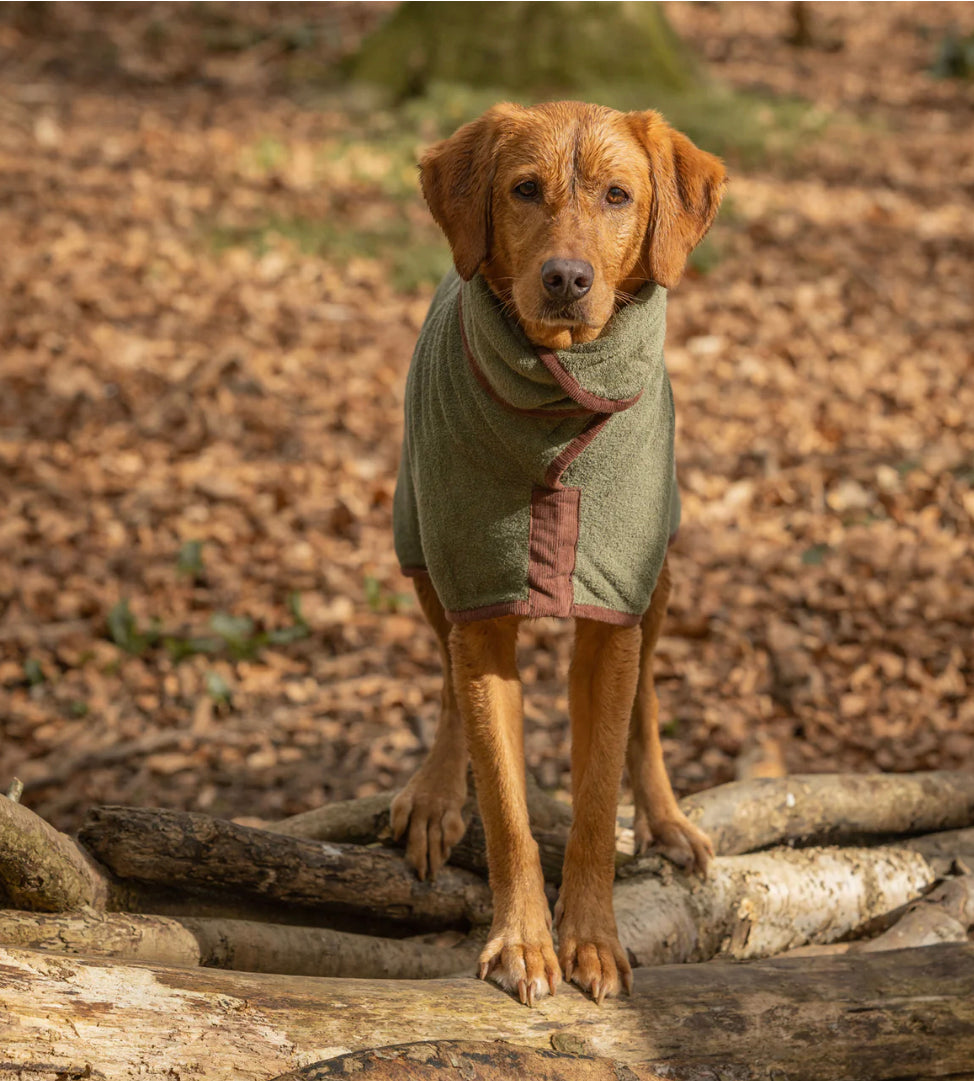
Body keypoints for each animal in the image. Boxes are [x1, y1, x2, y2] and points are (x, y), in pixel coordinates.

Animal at [387, 101, 722, 1003]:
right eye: (525, 189)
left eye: (617, 195)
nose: (566, 278)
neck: (557, 396)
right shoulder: (477, 601)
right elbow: (504, 800)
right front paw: (523, 942)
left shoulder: (612, 613)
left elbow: (597, 799)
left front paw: (595, 941)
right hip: (420, 543)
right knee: (445, 678)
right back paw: (436, 792)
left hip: (659, 575)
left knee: (646, 704)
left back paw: (668, 817)